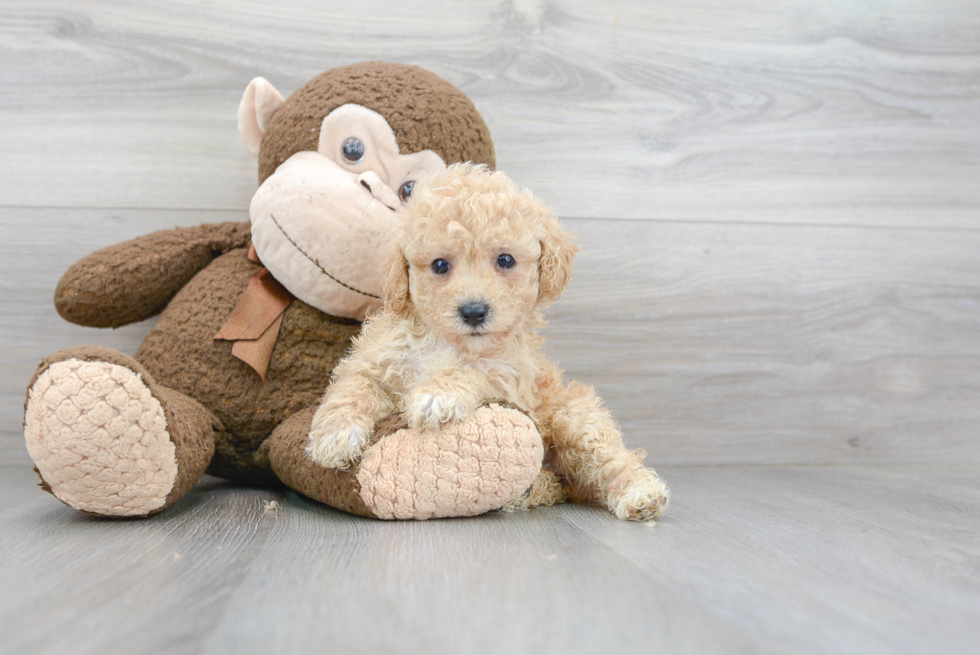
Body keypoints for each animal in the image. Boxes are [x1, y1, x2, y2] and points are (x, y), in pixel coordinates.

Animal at [310, 165, 668, 524]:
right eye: (440, 265)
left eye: (505, 260)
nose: (473, 311)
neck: (449, 343)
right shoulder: (374, 359)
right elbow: (354, 387)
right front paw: (335, 436)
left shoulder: (509, 377)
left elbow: (474, 370)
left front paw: (438, 396)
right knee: (557, 484)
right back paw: (531, 490)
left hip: (575, 418)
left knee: (608, 460)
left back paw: (639, 494)